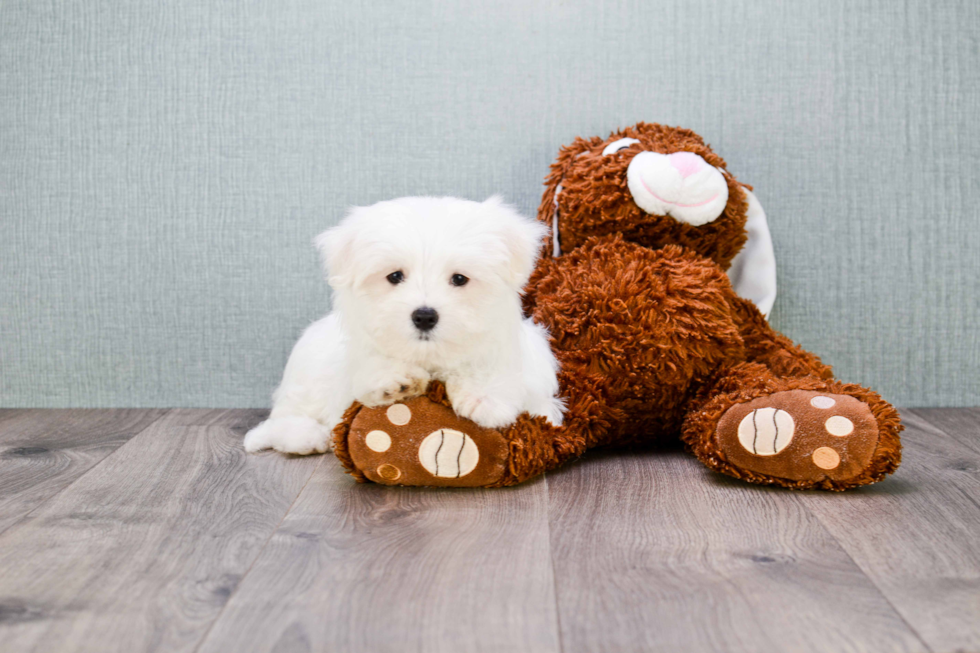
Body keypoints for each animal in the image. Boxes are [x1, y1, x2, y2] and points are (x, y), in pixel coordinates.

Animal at [243, 196, 568, 456]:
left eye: (459, 279)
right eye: (395, 276)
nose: (424, 316)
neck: (430, 358)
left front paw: (484, 397)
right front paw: (394, 380)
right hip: (304, 378)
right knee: (285, 416)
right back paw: (307, 437)